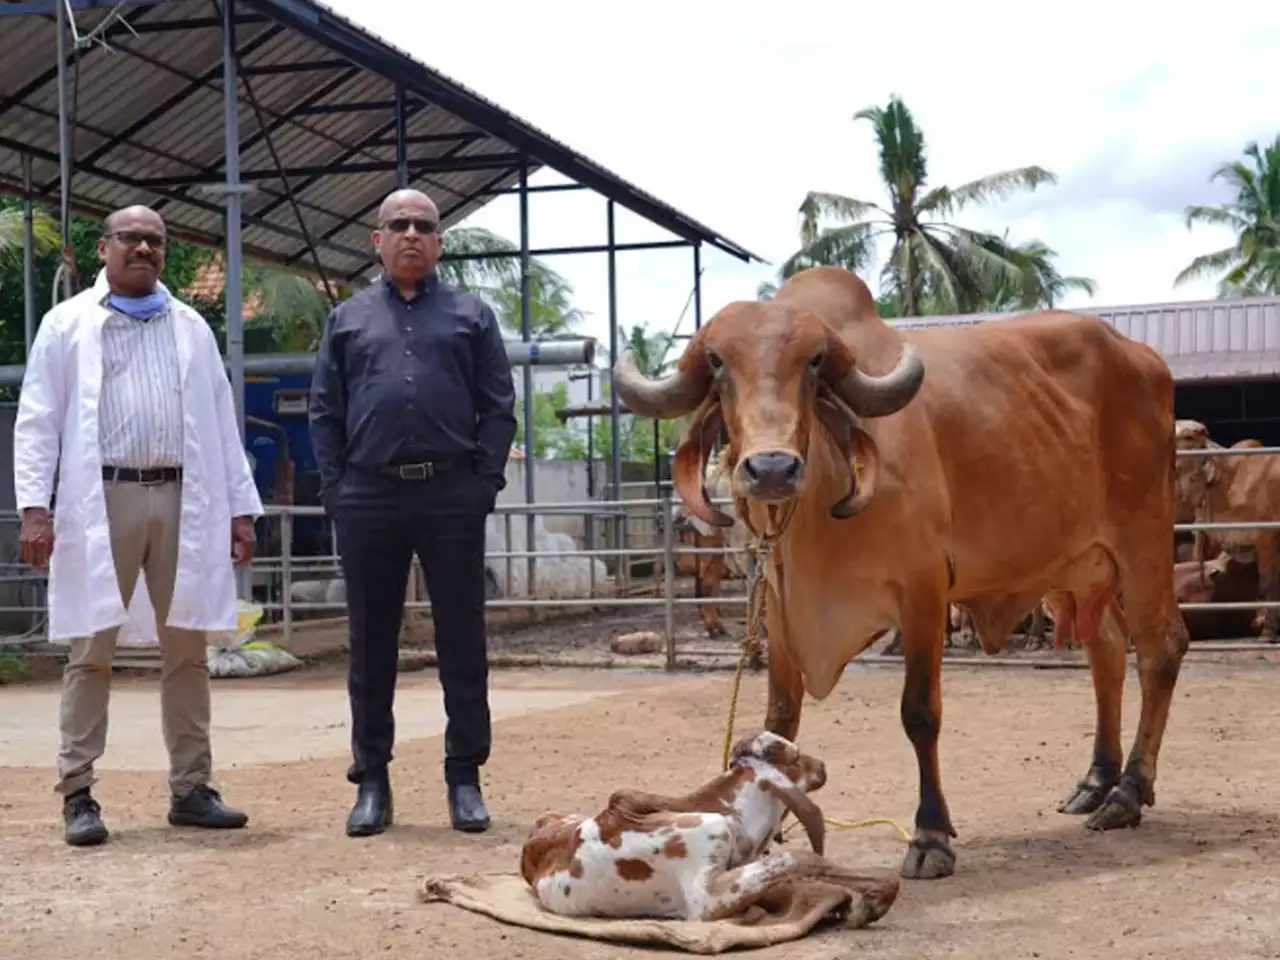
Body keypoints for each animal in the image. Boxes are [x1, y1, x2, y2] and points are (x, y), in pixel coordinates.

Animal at [518, 730, 899, 927]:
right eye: (795, 755)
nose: (822, 766)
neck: (732, 814)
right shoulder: (706, 899)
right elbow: (806, 858)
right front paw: (873, 899)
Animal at [611, 265, 1190, 882]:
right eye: (718, 362)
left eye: (815, 362)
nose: (771, 468)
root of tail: (1144, 357)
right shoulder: (778, 607)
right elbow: (779, 719)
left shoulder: (924, 593)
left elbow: (920, 713)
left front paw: (931, 836)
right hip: (1074, 568)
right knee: (1106, 651)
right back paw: (1096, 781)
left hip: (1143, 543)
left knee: (1160, 648)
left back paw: (1128, 792)